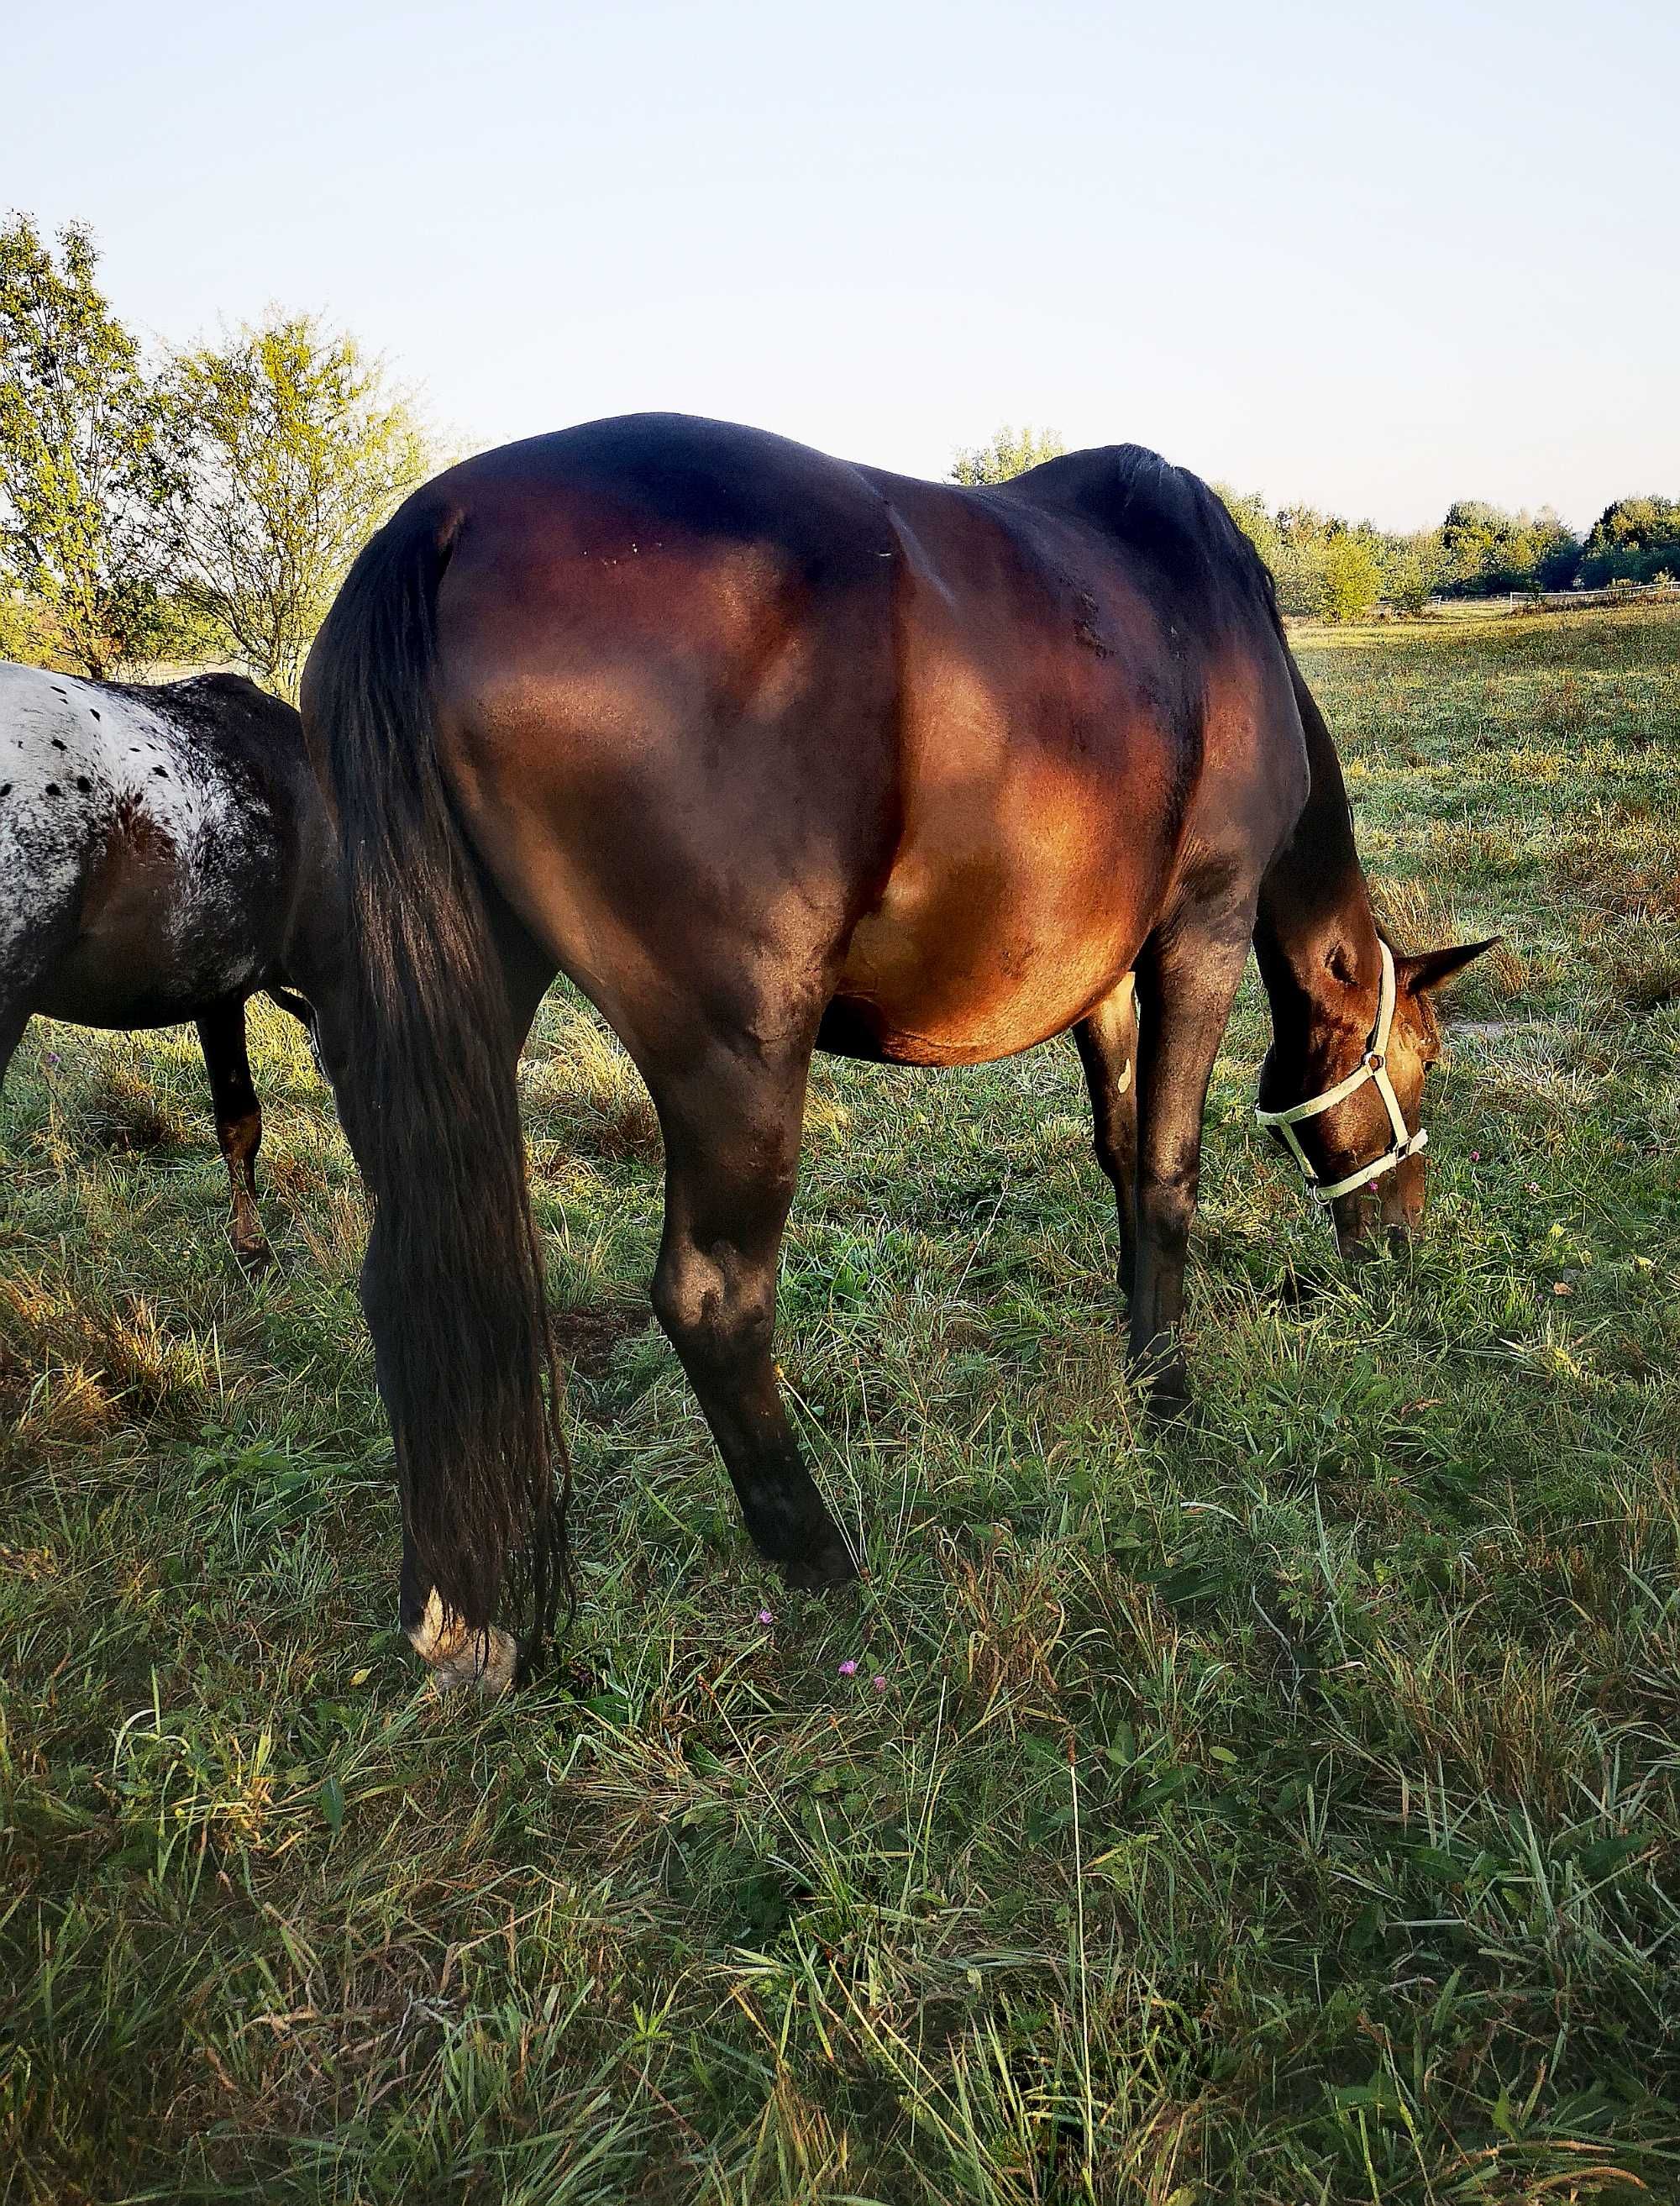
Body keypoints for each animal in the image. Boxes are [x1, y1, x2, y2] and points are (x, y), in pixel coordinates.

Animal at [302, 414, 1490, 1685]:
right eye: (1420, 1058)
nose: (1398, 1237)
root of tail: (444, 524)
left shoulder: (1102, 973)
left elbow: (1122, 1155)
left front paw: (1136, 1350)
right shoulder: (1199, 933)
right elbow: (1170, 1170)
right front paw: (1170, 1394)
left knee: (406, 1279)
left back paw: (448, 1606)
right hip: (739, 1053)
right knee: (712, 1298)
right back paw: (819, 1556)